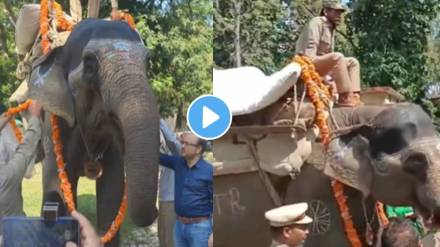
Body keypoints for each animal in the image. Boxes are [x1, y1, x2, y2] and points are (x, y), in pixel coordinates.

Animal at [27, 18, 160, 246]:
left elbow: (112, 189)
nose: (158, 211)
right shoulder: (55, 122)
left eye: (148, 62)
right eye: (89, 65)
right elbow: (57, 183)